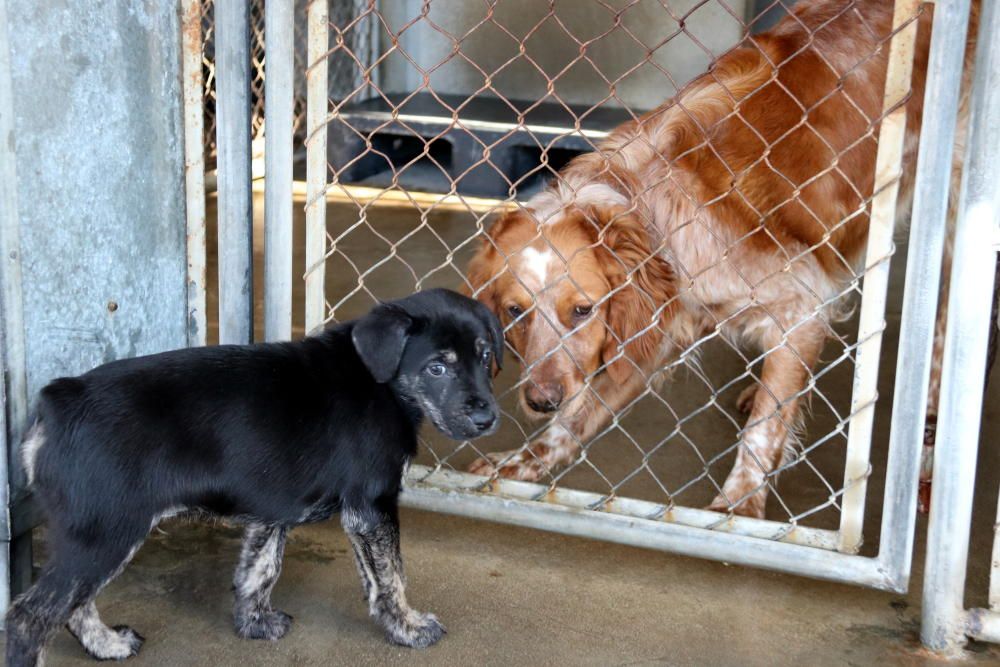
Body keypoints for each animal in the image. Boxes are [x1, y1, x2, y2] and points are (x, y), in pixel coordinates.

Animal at [4, 288, 504, 667]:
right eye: (437, 367)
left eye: (485, 359)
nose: (487, 419)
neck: (382, 382)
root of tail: (59, 398)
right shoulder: (371, 507)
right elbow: (390, 576)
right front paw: (408, 627)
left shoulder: (272, 510)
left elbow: (260, 568)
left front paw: (254, 623)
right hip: (105, 531)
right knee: (30, 617)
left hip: (95, 534)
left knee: (73, 605)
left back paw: (107, 644)